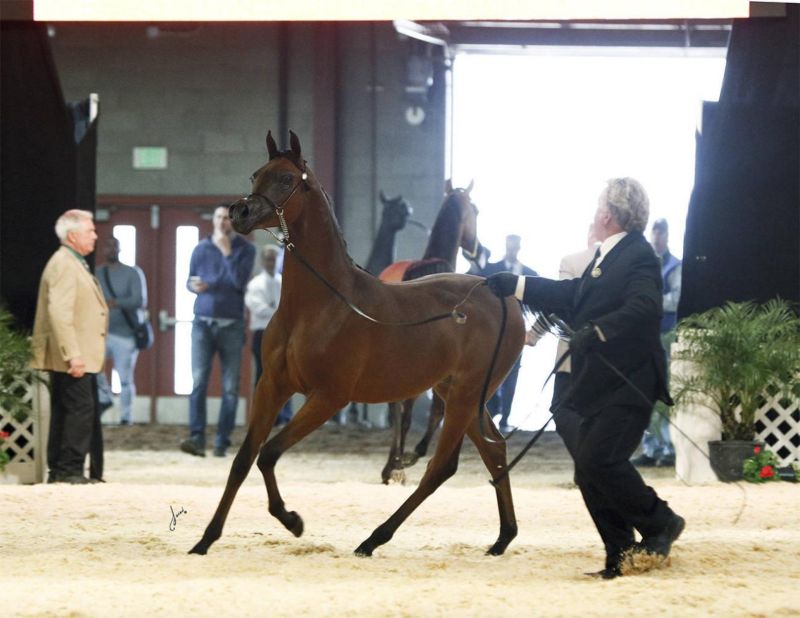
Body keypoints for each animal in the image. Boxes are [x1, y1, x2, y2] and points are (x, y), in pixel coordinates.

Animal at [378, 180, 484, 484]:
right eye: (476, 210)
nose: (478, 250)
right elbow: (436, 411)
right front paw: (412, 454)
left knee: (397, 408)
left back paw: (392, 465)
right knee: (406, 410)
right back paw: (398, 463)